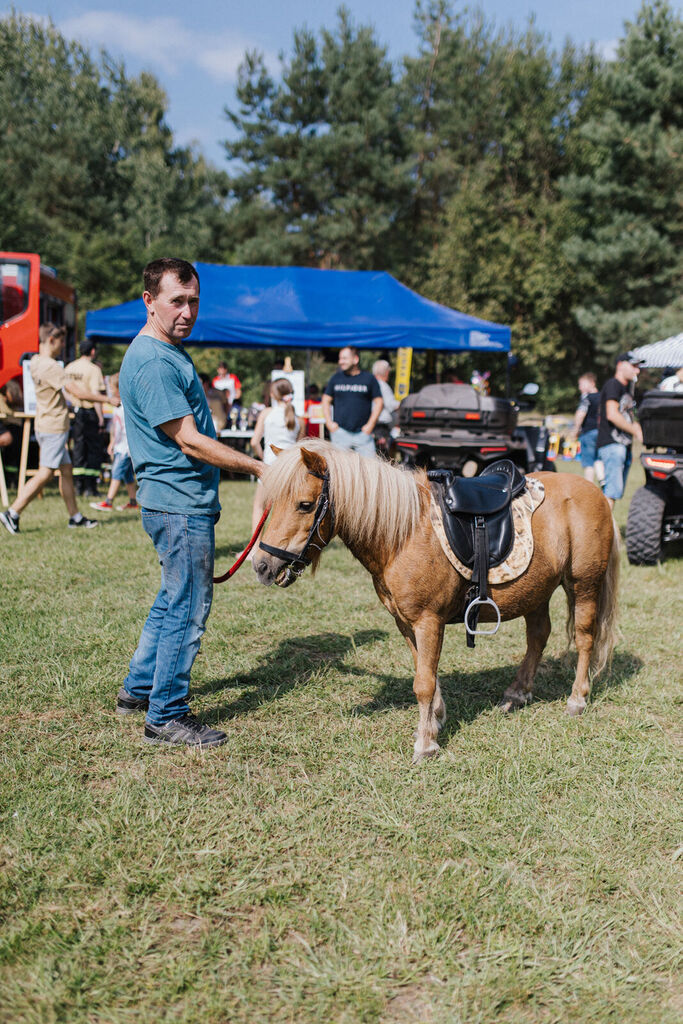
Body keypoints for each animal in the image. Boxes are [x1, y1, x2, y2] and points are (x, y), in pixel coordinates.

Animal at [254, 438, 618, 761]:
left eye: (305, 504)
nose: (262, 566)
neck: (404, 534)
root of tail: (595, 491)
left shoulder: (428, 620)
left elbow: (424, 683)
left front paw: (426, 744)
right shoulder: (405, 622)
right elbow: (424, 671)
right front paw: (434, 721)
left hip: (583, 584)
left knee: (585, 638)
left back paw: (577, 699)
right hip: (537, 589)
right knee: (538, 636)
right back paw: (517, 693)